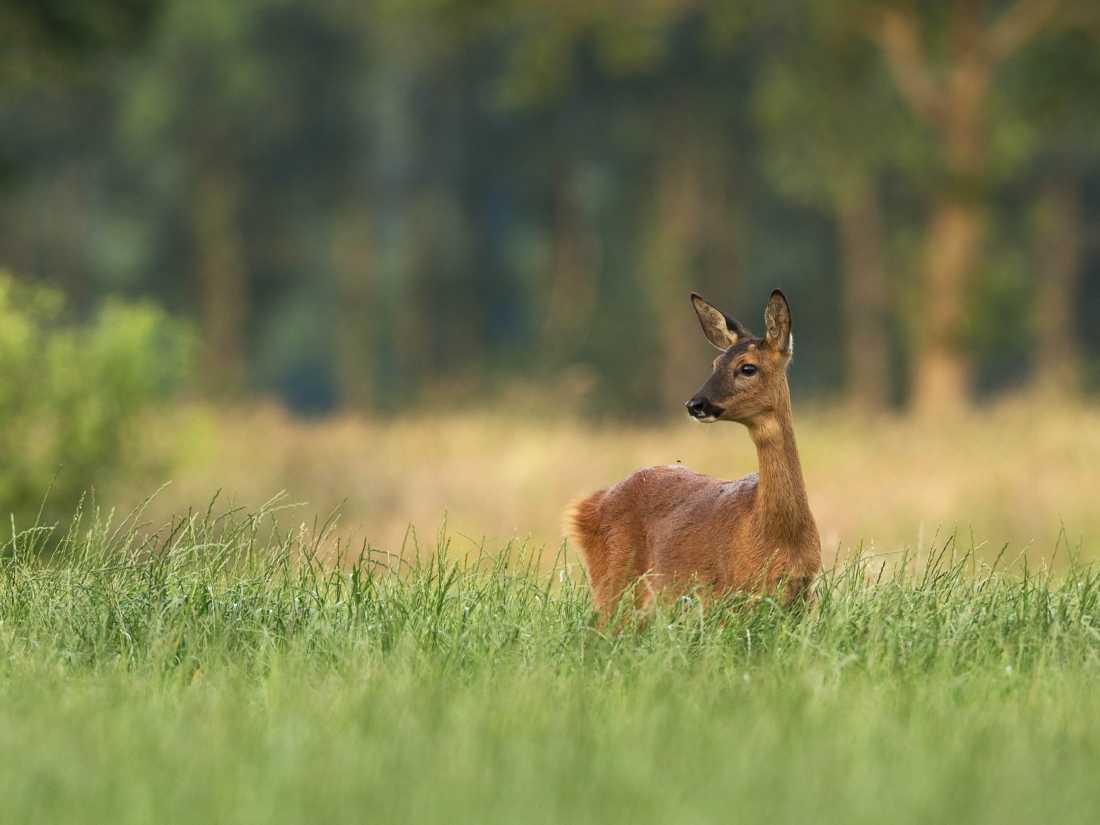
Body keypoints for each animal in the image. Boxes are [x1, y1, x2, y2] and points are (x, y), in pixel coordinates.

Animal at [567, 289, 820, 620]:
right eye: (715, 363)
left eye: (747, 367)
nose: (695, 404)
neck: (778, 536)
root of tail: (589, 504)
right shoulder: (731, 597)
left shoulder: (806, 595)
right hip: (614, 583)